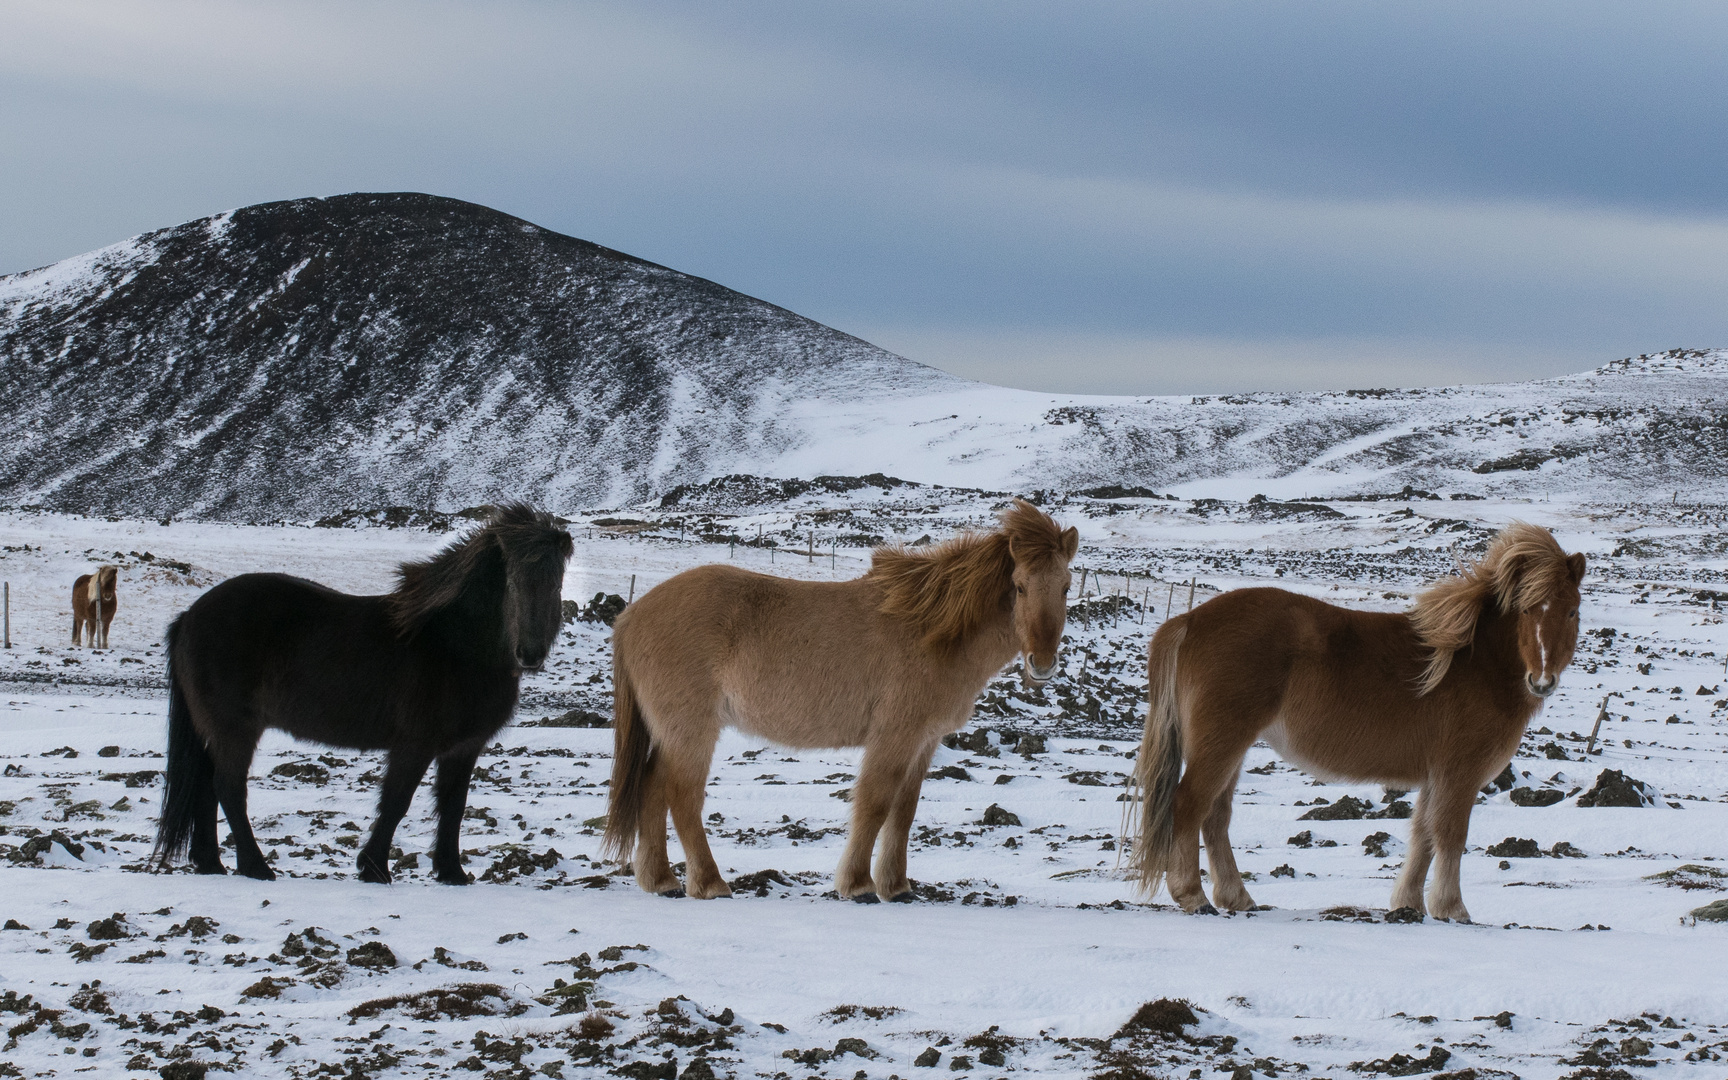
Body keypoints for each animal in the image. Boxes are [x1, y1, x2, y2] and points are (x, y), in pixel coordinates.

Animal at [155, 501, 573, 881]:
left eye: (555, 585)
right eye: (513, 583)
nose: (530, 654)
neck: (455, 646)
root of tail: (189, 616)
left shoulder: (463, 749)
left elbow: (453, 807)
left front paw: (451, 872)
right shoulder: (413, 744)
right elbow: (396, 802)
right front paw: (374, 868)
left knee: (206, 787)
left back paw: (211, 863)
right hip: (235, 728)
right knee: (228, 788)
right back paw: (256, 867)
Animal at [601, 497, 1071, 898]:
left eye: (1066, 586)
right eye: (1019, 586)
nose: (1043, 663)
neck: (932, 630)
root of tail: (631, 616)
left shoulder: (924, 741)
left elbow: (904, 812)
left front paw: (897, 887)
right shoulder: (894, 736)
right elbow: (876, 803)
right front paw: (859, 884)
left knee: (651, 785)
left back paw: (661, 880)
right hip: (692, 730)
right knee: (681, 794)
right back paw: (710, 883)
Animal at [1126, 521, 1582, 919]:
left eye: (1573, 612)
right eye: (1525, 611)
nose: (1541, 681)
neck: (1473, 660)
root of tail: (1187, 621)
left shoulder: (1435, 775)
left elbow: (1422, 835)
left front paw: (1408, 904)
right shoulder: (1459, 773)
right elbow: (1450, 834)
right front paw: (1453, 908)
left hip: (1231, 746)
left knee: (1216, 816)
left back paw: (1238, 898)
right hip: (1222, 742)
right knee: (1189, 805)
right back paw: (1193, 896)